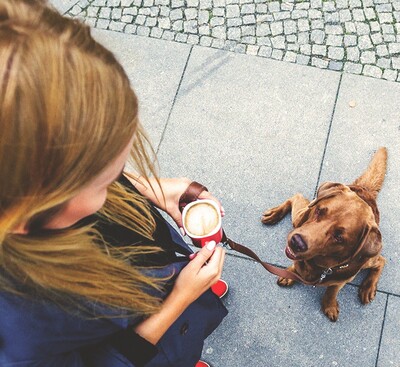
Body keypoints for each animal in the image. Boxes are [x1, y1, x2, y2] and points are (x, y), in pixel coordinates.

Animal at [262, 148, 388, 320]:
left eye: (339, 237)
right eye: (320, 210)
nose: (296, 242)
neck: (320, 266)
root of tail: (364, 190)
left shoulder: (343, 279)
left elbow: (332, 290)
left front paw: (329, 305)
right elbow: (295, 266)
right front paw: (289, 274)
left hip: (367, 259)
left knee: (381, 261)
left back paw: (368, 287)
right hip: (299, 218)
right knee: (297, 196)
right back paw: (275, 213)